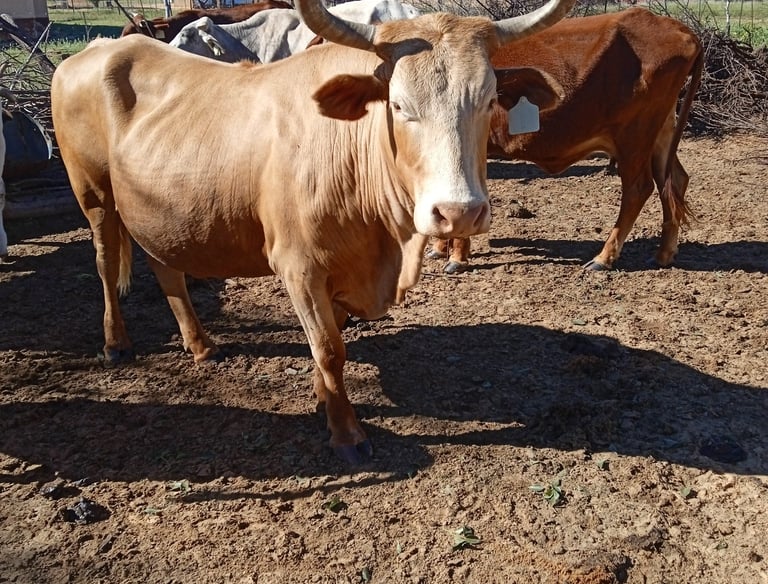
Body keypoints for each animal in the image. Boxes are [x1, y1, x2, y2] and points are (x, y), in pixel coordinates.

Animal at [428, 8, 703, 274]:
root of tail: (681, 30)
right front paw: (440, 247)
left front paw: (456, 258)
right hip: (660, 133)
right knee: (675, 181)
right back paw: (664, 254)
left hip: (635, 136)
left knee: (638, 189)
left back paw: (604, 258)